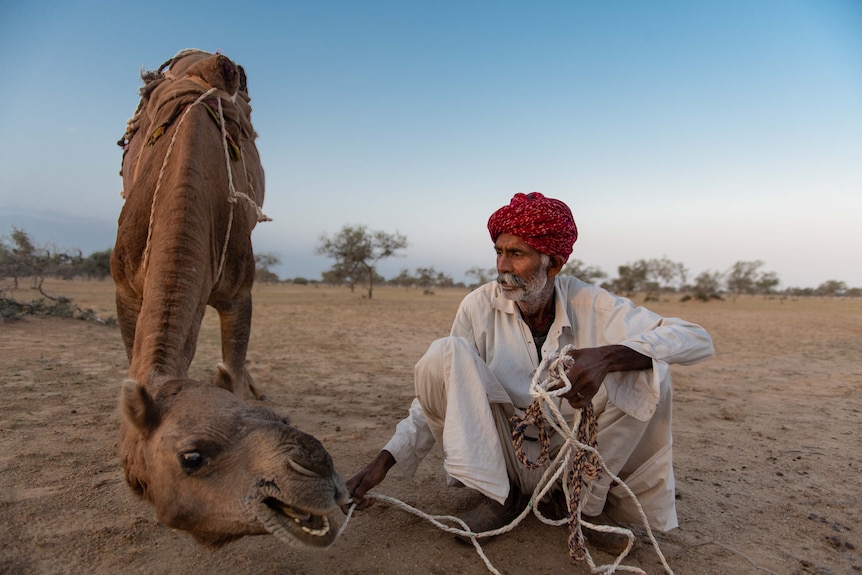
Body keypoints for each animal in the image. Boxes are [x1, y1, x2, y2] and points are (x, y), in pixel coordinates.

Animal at [110, 50, 348, 548]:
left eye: (271, 417)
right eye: (192, 457)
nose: (316, 465)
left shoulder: (239, 289)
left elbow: (233, 367)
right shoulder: (124, 286)